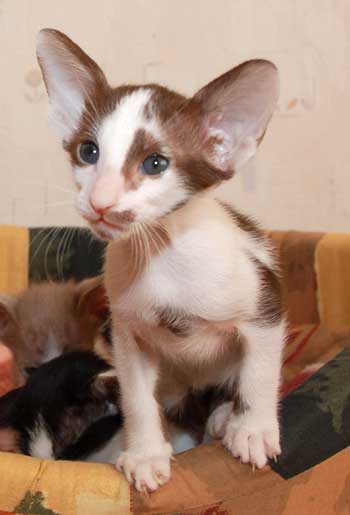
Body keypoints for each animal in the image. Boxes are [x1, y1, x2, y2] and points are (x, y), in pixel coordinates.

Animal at [37, 30, 286, 494]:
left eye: (155, 164)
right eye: (88, 151)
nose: (100, 202)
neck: (162, 254)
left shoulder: (265, 302)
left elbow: (259, 370)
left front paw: (254, 428)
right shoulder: (126, 329)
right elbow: (137, 395)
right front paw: (146, 453)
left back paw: (225, 417)